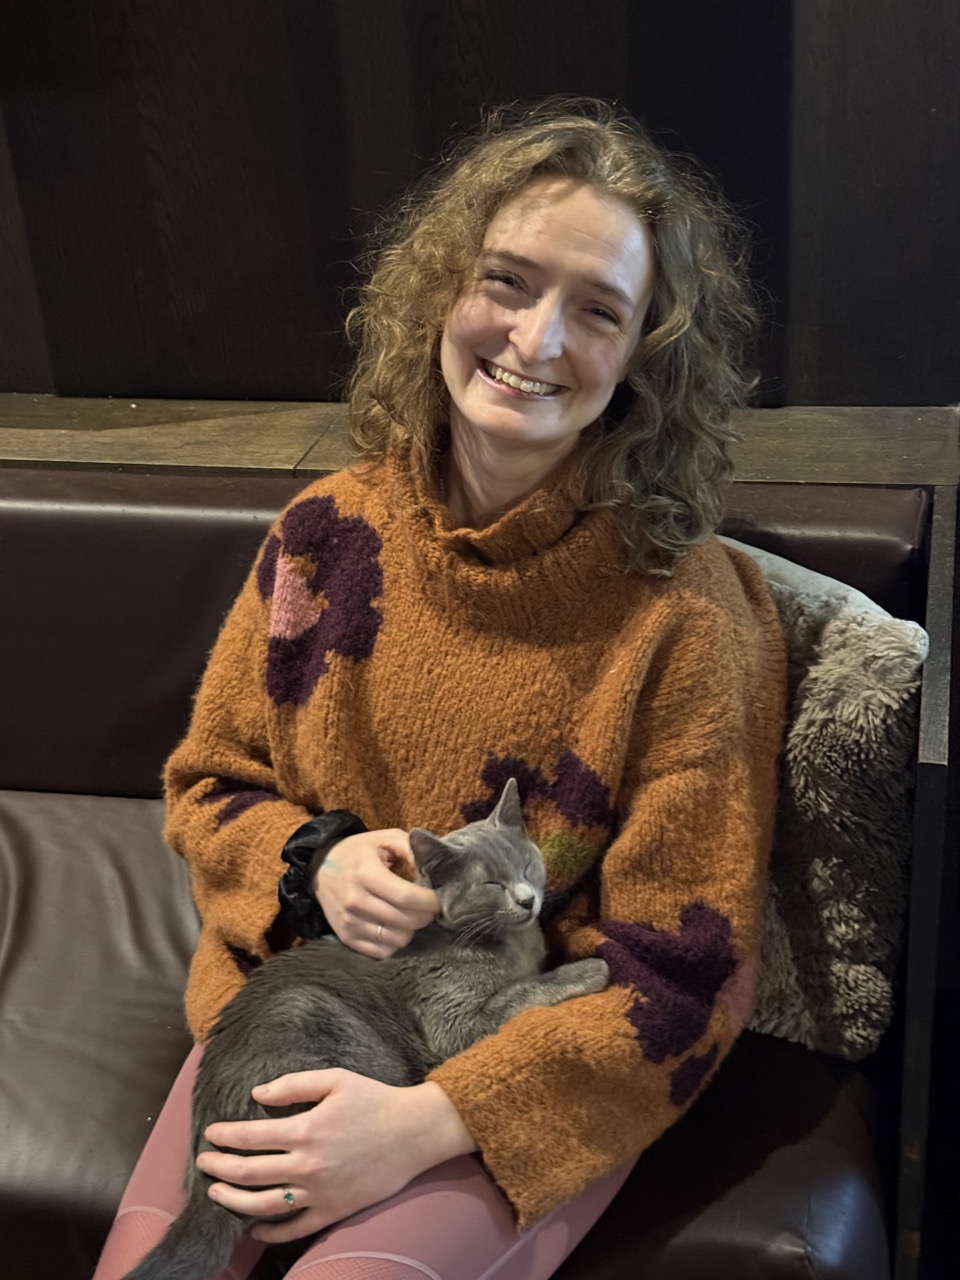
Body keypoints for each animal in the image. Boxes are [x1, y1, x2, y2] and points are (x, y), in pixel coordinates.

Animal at [124, 778, 609, 1280]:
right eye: (492, 884)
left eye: (528, 865)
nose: (528, 899)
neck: (513, 944)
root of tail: (209, 1180)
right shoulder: (451, 1021)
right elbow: (521, 993)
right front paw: (589, 970)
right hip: (315, 1019)